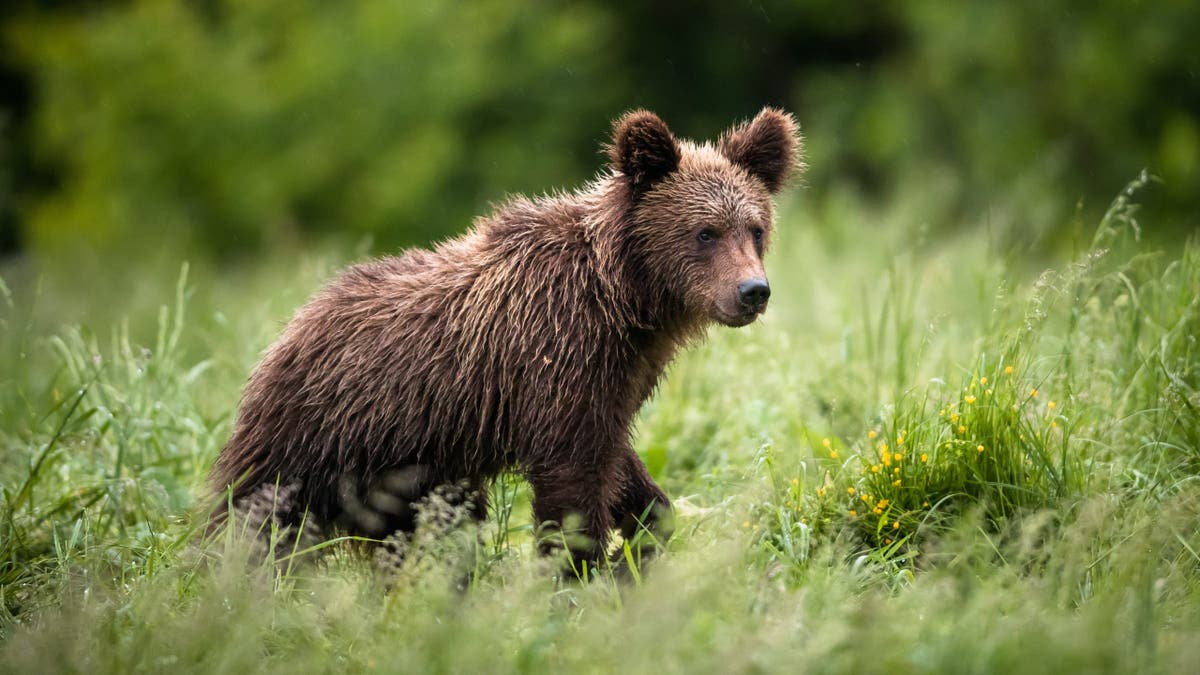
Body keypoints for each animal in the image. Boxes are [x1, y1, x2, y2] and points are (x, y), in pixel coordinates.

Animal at [210, 107, 802, 573]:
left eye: (755, 228)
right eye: (705, 233)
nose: (753, 291)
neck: (624, 299)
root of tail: (291, 326)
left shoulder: (615, 379)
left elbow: (619, 466)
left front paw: (639, 541)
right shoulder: (557, 357)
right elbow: (571, 485)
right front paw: (577, 574)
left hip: (407, 471)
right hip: (318, 433)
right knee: (256, 518)